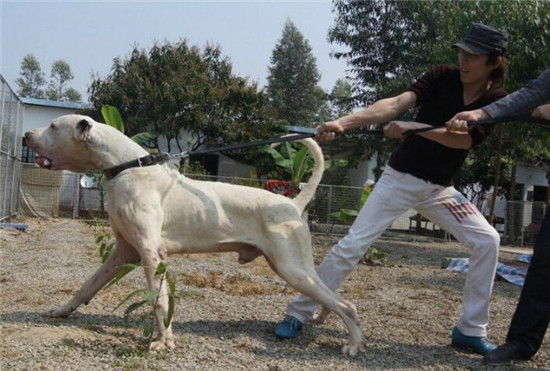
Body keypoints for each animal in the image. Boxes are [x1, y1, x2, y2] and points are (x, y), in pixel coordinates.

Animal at [23, 115, 364, 356]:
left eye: (53, 125)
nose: (26, 135)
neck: (128, 169)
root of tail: (293, 202)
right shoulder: (123, 252)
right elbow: (87, 286)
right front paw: (61, 310)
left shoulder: (151, 253)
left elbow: (159, 302)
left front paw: (163, 342)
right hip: (293, 269)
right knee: (332, 296)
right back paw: (323, 318)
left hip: (292, 268)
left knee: (347, 305)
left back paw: (353, 344)